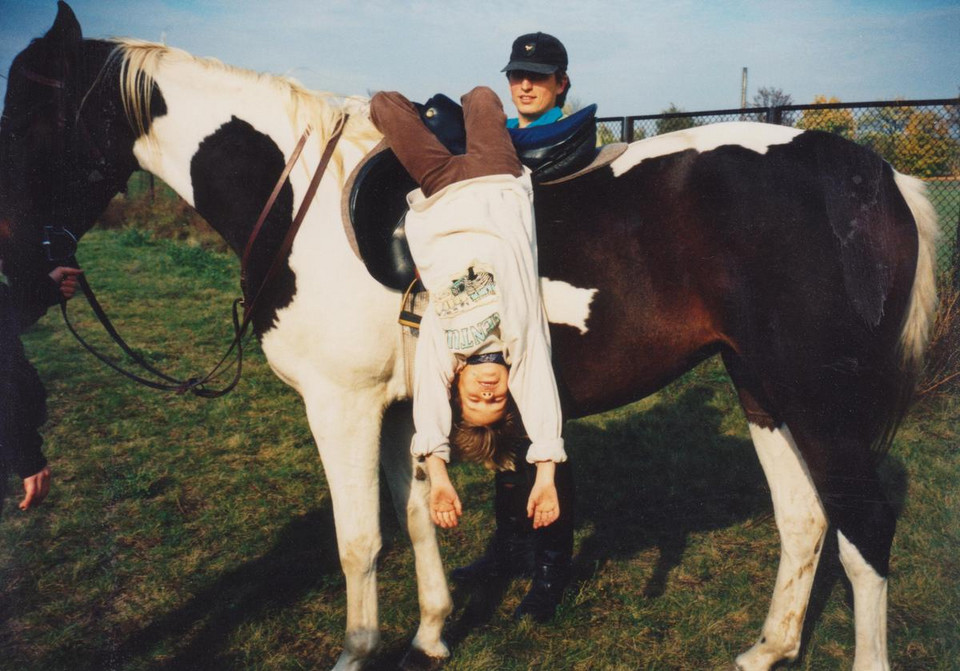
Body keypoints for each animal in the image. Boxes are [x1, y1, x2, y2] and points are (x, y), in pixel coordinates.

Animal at [0, 5, 936, 671]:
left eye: (27, 121)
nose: (19, 277)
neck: (301, 200)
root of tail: (873, 175)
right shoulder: (399, 409)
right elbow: (415, 518)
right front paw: (431, 636)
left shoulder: (342, 407)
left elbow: (359, 538)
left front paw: (359, 651)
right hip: (760, 385)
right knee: (806, 519)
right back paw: (769, 646)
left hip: (817, 394)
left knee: (863, 526)